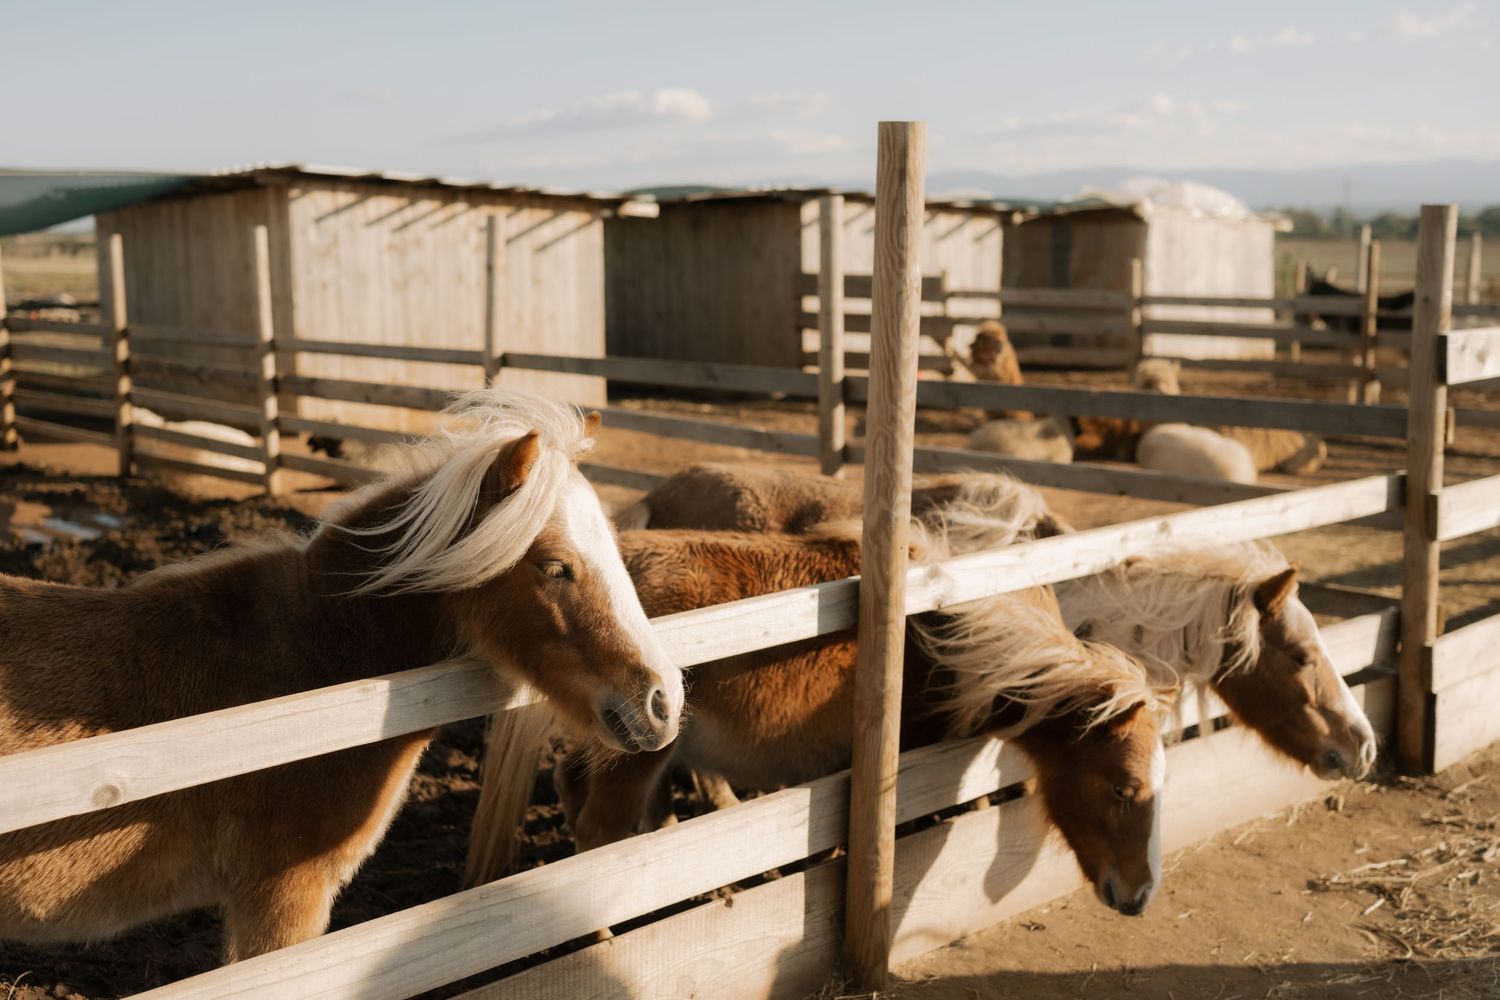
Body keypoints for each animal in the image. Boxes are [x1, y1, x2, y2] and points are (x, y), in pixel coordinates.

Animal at [470, 523, 1168, 917]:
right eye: (1124, 788)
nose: (1139, 896)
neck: (942, 632)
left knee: (580, 790)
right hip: (639, 749)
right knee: (598, 836)